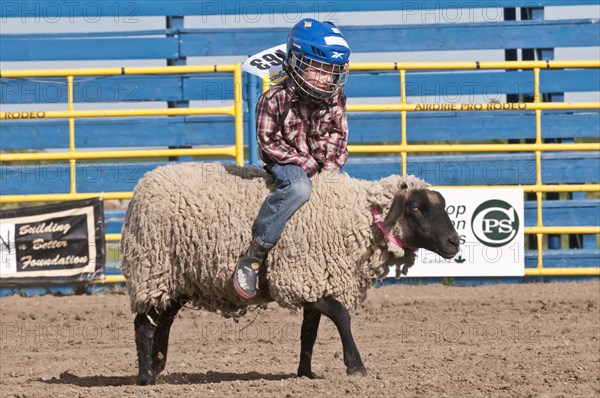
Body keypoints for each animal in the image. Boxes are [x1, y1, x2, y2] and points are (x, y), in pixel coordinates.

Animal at [120, 162, 460, 386]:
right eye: (416, 208)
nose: (454, 242)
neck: (357, 219)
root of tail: (142, 185)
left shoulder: (314, 281)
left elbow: (310, 330)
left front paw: (305, 373)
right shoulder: (297, 278)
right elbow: (341, 316)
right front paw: (356, 366)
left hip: (175, 279)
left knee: (163, 321)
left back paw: (158, 365)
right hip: (152, 268)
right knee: (143, 324)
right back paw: (146, 377)